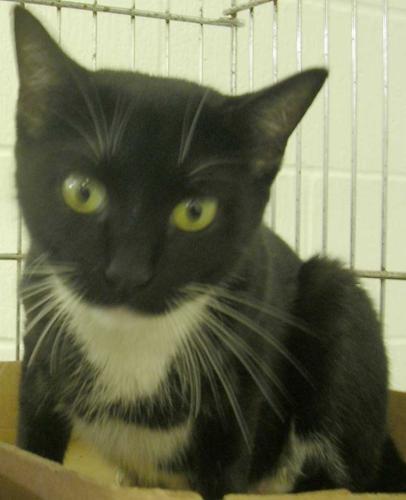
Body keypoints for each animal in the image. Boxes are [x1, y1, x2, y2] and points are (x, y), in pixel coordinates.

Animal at [13, 6, 406, 500]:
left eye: (195, 212)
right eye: (81, 192)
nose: (127, 273)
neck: (131, 341)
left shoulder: (242, 370)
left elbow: (225, 470)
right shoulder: (38, 333)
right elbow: (33, 450)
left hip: (339, 305)